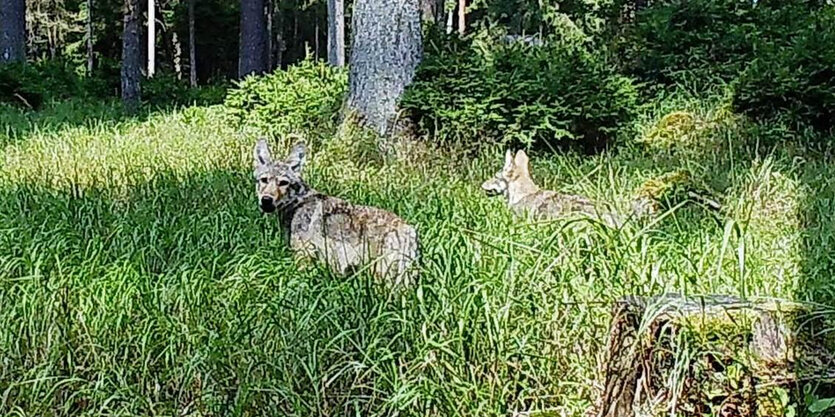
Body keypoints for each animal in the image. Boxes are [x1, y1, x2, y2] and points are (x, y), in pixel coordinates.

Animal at [253, 138, 424, 284]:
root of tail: (409, 229)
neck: (297, 204)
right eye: (264, 180)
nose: (266, 200)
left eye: (283, 183)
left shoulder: (303, 257)